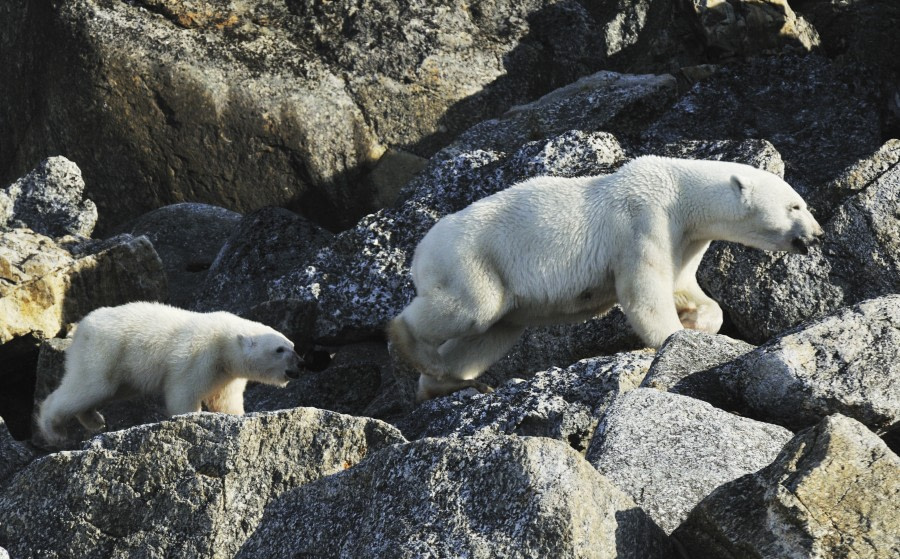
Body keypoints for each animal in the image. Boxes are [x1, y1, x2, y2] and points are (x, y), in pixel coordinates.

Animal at [36, 302, 302, 446]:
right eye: (279, 349)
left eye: (293, 345)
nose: (297, 369)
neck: (224, 342)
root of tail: (82, 326)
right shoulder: (198, 357)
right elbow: (183, 393)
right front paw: (192, 418)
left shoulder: (226, 373)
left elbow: (225, 399)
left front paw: (236, 416)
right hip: (105, 352)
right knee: (88, 386)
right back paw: (54, 432)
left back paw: (94, 420)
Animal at [386, 156, 824, 402]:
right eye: (795, 205)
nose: (818, 234)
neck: (680, 192)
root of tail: (419, 252)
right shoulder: (644, 221)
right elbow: (644, 291)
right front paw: (671, 338)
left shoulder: (687, 238)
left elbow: (685, 286)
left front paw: (697, 321)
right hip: (472, 258)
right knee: (472, 309)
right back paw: (413, 347)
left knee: (492, 331)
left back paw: (447, 382)